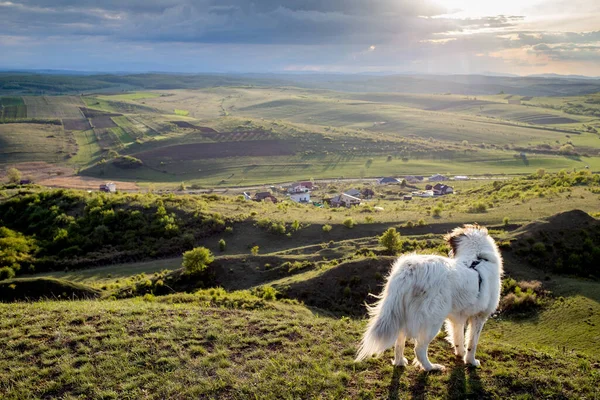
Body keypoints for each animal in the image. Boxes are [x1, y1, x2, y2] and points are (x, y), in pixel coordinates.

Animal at [356, 225, 502, 372]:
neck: (477, 258)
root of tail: (410, 269)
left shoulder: (457, 318)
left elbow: (458, 338)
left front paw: (460, 354)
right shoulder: (479, 317)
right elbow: (472, 343)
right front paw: (471, 361)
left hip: (402, 314)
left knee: (399, 341)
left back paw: (399, 362)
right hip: (431, 321)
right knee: (419, 349)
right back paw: (431, 367)